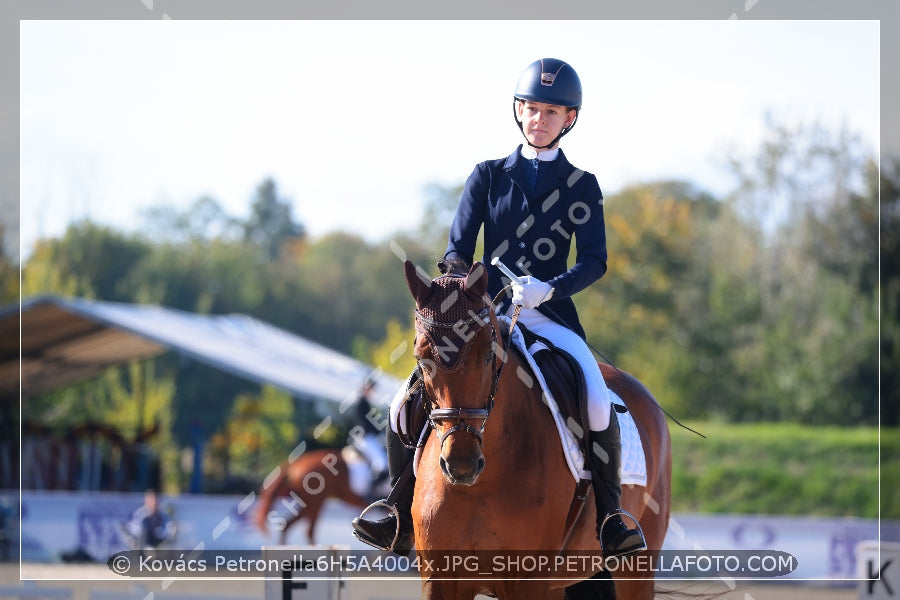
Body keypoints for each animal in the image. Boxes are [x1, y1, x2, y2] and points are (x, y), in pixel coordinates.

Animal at [404, 262, 672, 600]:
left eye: (488, 354)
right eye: (421, 358)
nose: (461, 464)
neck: (481, 484)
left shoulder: (528, 581)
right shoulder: (440, 580)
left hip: (636, 569)